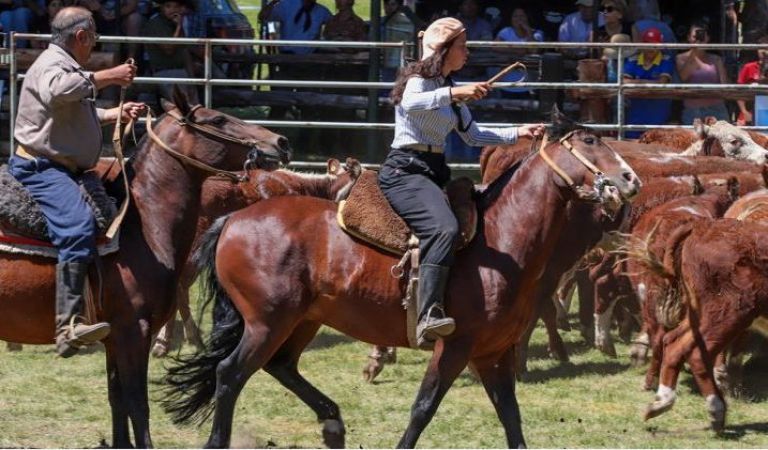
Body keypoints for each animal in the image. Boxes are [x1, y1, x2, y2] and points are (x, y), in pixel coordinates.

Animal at [0, 89, 292, 448]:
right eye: (218, 119)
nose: (280, 142)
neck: (141, 224)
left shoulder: (114, 335)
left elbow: (117, 398)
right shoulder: (134, 329)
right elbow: (138, 403)